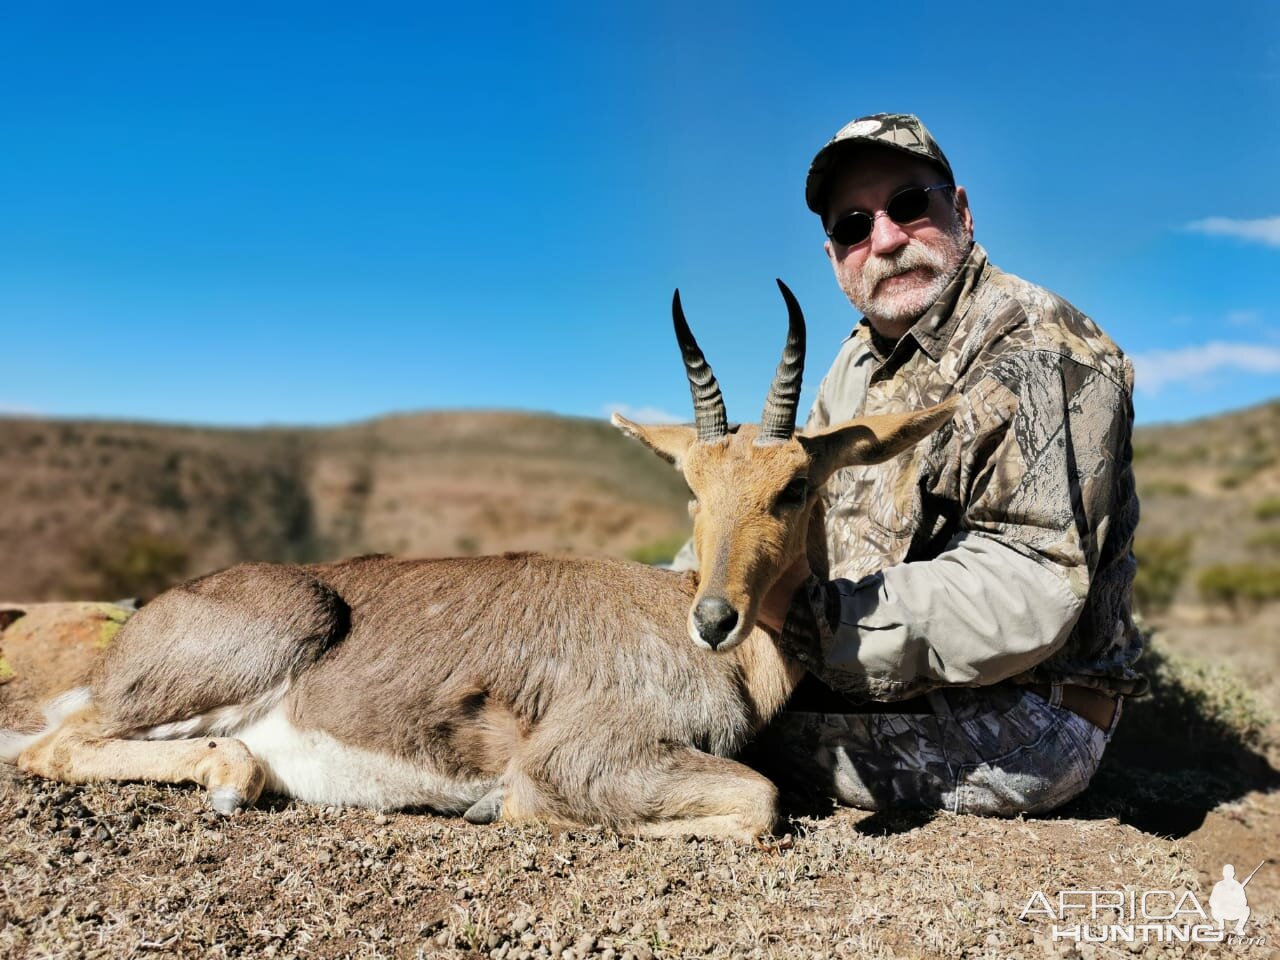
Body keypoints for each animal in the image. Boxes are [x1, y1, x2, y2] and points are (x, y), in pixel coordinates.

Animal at [2, 281, 952, 839]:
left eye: (794, 484)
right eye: (690, 480)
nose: (714, 618)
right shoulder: (583, 754)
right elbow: (760, 801)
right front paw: (505, 802)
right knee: (55, 746)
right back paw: (233, 777)